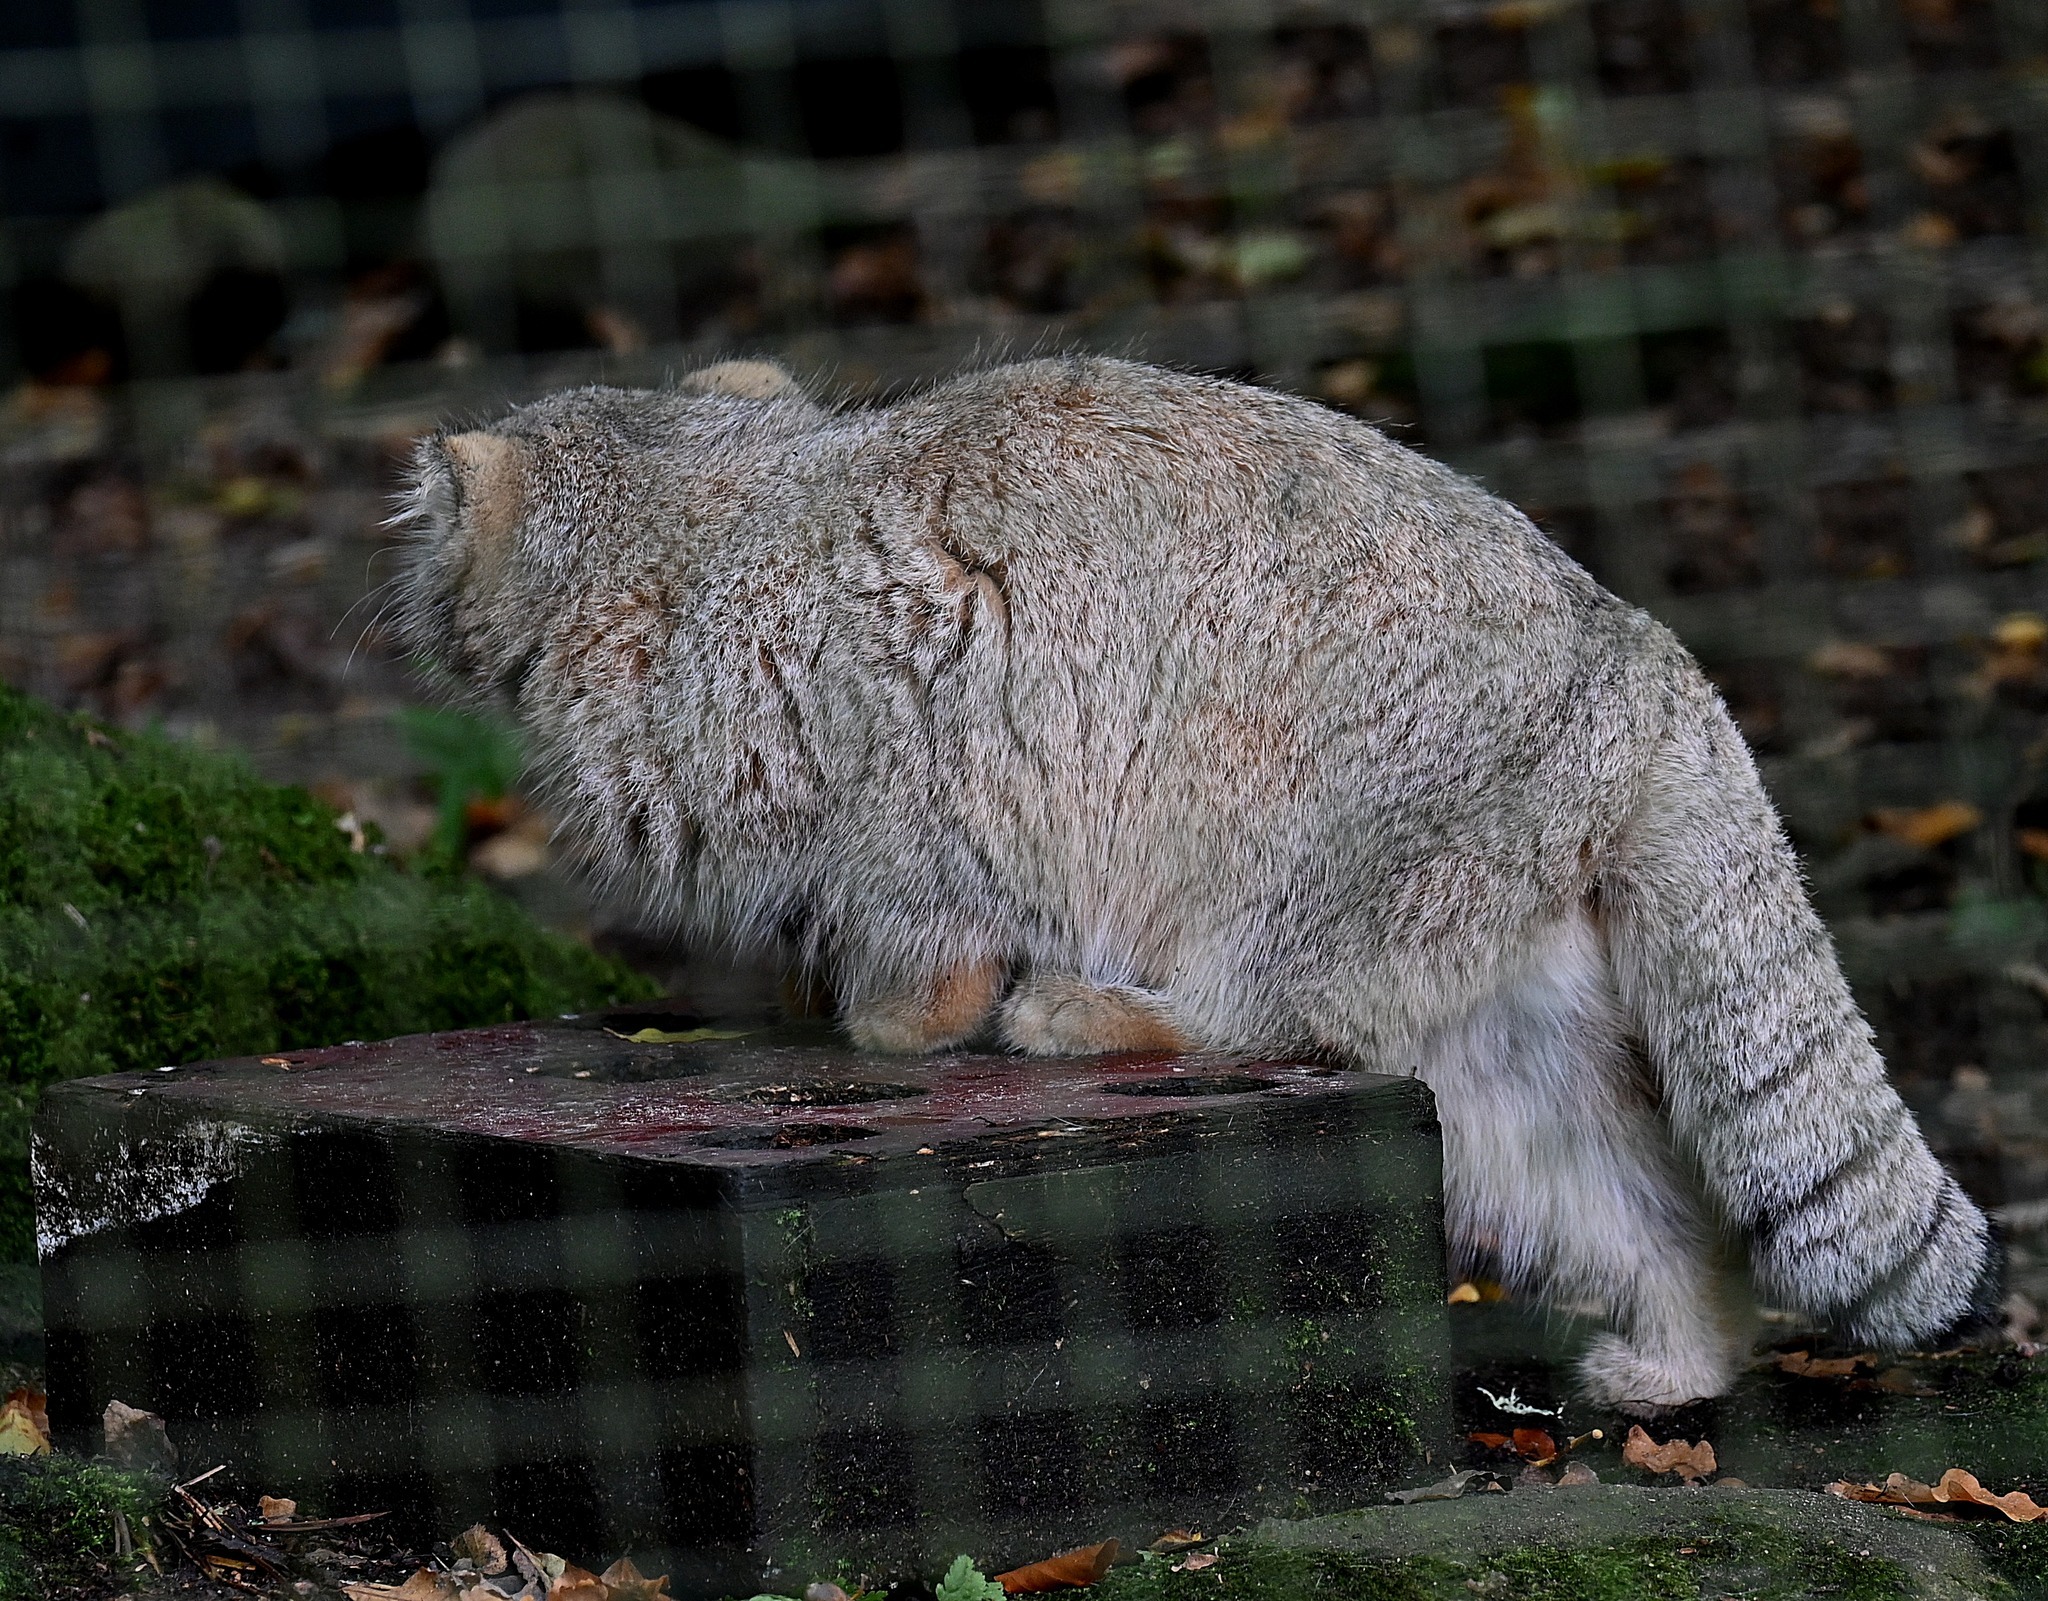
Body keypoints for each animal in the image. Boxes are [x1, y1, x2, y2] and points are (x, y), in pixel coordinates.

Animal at [395, 358, 1982, 1408]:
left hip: (1289, 850)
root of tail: (1648, 665)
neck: (709, 527)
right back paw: (1679, 1352)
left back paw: (1090, 1010)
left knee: (1268, 1014)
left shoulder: (912, 793)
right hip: (1494, 974)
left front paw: (894, 1022)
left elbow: (926, 940)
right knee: (1608, 1173)